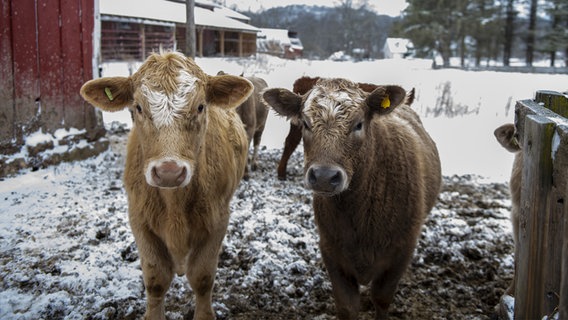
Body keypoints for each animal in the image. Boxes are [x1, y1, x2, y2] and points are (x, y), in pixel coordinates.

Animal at [80, 51, 251, 318]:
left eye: (200, 106)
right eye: (138, 107)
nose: (168, 172)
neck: (174, 205)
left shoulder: (218, 220)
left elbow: (202, 277)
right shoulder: (139, 220)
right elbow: (156, 280)